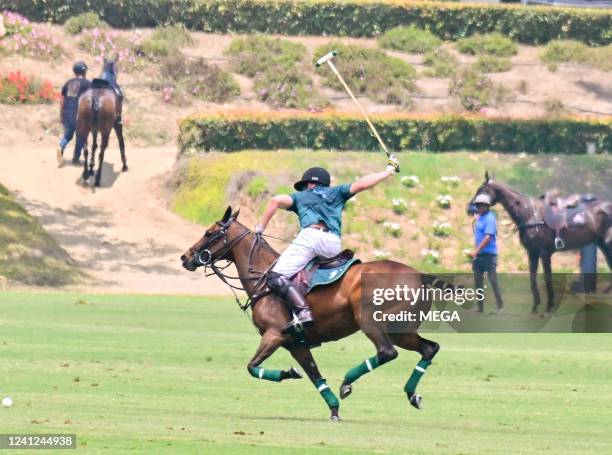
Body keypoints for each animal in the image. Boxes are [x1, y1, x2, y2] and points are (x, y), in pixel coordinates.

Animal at [76, 54, 126, 187]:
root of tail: (95, 99)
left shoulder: (94, 129)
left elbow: (93, 146)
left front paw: (91, 168)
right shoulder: (117, 124)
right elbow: (121, 142)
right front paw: (125, 165)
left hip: (83, 128)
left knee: (86, 149)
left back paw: (86, 174)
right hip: (105, 131)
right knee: (102, 152)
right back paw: (98, 178)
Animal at [179, 208, 448, 422]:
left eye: (209, 232)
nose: (185, 257)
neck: (263, 279)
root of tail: (420, 275)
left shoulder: (274, 335)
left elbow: (252, 367)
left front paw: (290, 374)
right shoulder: (296, 344)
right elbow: (314, 375)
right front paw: (333, 410)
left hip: (370, 322)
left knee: (387, 352)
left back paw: (347, 383)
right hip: (401, 330)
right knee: (429, 348)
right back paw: (412, 394)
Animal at [470, 171, 608, 314]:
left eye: (481, 190)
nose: (470, 209)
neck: (530, 213)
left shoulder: (544, 254)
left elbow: (547, 278)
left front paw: (549, 306)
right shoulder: (532, 253)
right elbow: (532, 278)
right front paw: (535, 306)